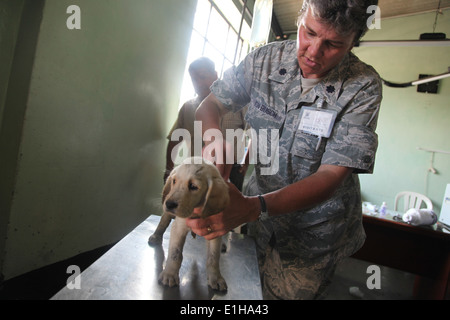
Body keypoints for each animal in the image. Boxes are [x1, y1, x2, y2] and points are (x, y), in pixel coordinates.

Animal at [149, 156, 230, 292]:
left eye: (193, 186)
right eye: (174, 181)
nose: (169, 204)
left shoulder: (214, 230)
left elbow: (213, 258)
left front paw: (216, 278)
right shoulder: (178, 227)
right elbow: (175, 254)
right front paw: (169, 274)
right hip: (167, 212)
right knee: (163, 222)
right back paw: (156, 236)